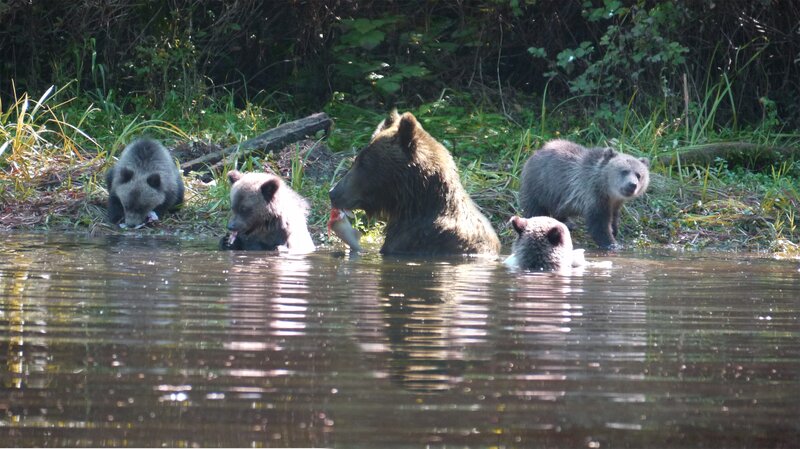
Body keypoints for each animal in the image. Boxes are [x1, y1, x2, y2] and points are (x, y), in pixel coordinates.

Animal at [518, 139, 650, 249]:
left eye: (638, 175)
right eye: (624, 171)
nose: (632, 185)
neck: (607, 189)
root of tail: (535, 152)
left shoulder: (615, 203)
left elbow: (613, 217)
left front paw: (614, 230)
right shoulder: (593, 196)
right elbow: (599, 224)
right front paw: (612, 243)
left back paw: (568, 223)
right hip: (540, 186)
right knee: (535, 208)